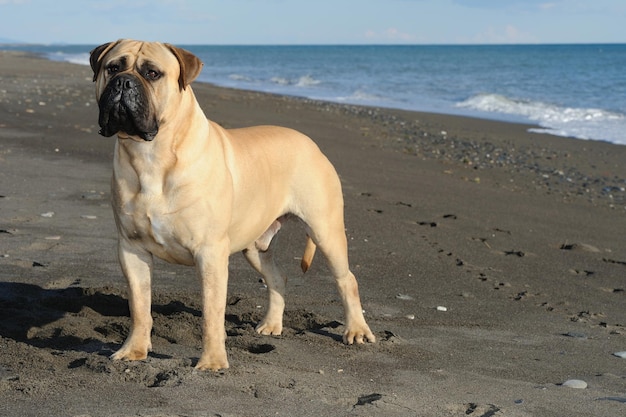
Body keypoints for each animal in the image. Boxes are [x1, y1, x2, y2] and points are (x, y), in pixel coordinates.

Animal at [89, 39, 372, 370]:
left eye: (152, 73)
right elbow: (139, 306)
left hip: (325, 230)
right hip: (256, 245)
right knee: (277, 278)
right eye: (113, 67)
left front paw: (212, 362)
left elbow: (212, 314)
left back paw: (356, 330)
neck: (151, 153)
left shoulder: (210, 253)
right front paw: (133, 350)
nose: (124, 82)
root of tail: (311, 143)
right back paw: (272, 324)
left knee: (346, 280)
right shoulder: (131, 249)